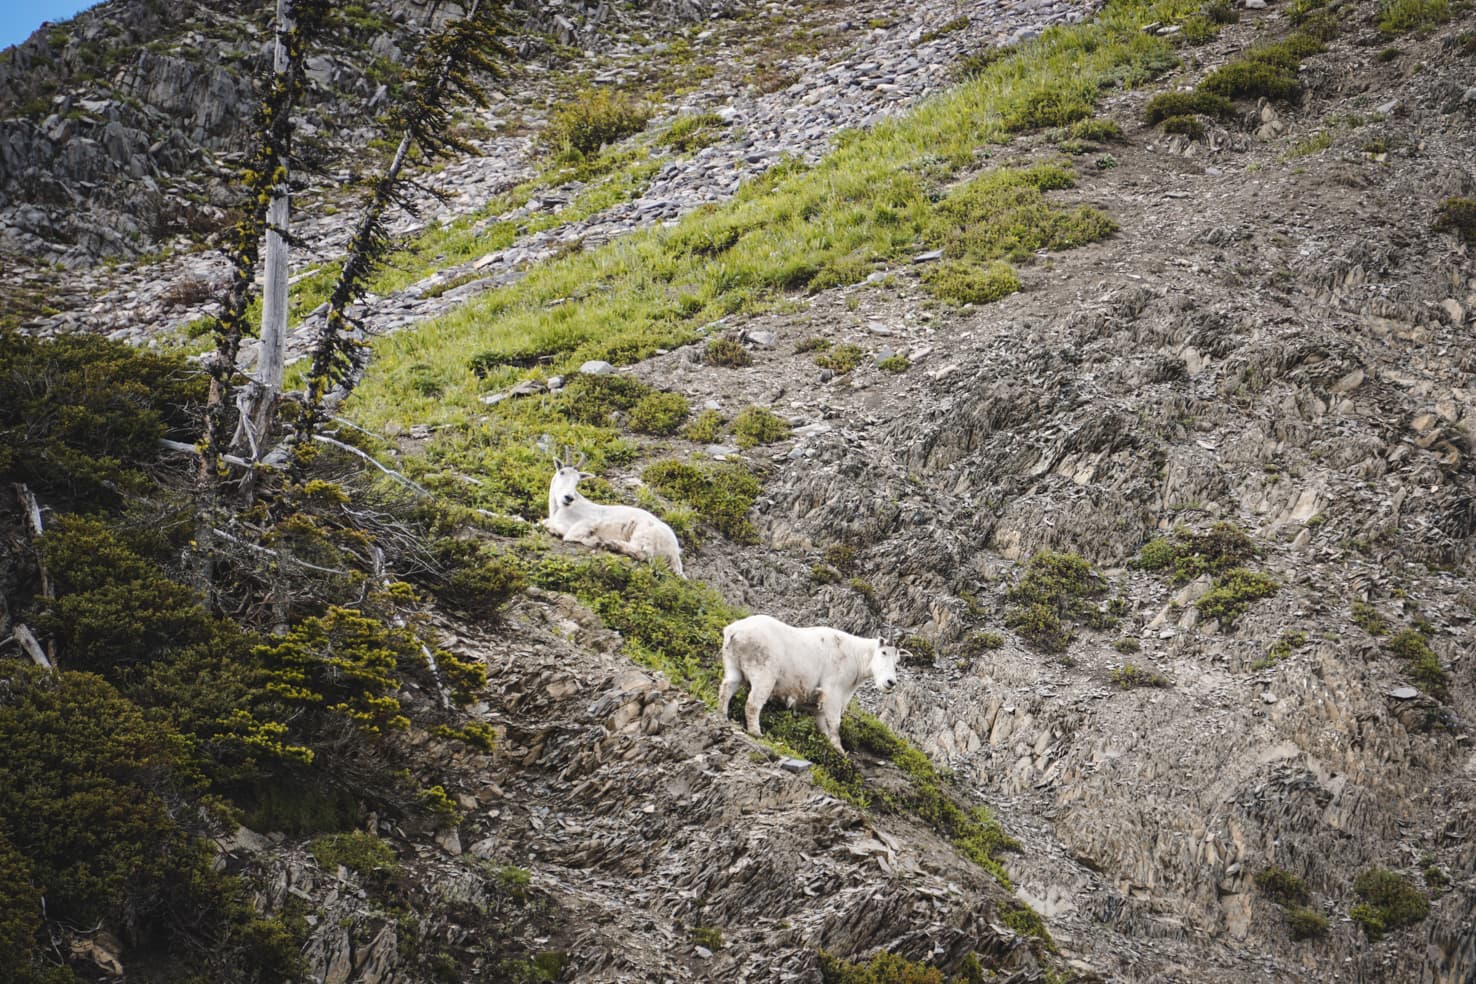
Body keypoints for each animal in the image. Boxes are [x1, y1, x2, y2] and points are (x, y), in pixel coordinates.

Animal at [543, 451, 684, 581]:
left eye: (578, 480)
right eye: (562, 472)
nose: (568, 497)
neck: (559, 509)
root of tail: (675, 552)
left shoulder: (588, 522)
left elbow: (568, 534)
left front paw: (594, 539)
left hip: (644, 533)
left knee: (643, 553)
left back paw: (610, 543)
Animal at [714, 616, 897, 755]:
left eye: (898, 660)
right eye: (883, 652)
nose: (891, 682)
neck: (855, 655)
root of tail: (734, 632)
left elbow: (823, 722)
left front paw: (827, 743)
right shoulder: (833, 689)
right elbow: (834, 722)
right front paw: (840, 750)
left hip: (732, 663)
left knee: (727, 687)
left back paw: (722, 715)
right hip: (763, 671)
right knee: (753, 703)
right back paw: (756, 732)